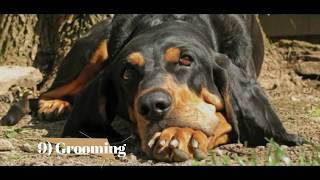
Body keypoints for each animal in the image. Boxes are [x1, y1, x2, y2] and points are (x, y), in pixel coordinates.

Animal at [1, 15, 304, 162]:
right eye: (126, 73)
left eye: (186, 60)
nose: (152, 105)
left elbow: (218, 118)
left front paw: (179, 135)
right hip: (93, 50)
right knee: (42, 93)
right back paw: (54, 104)